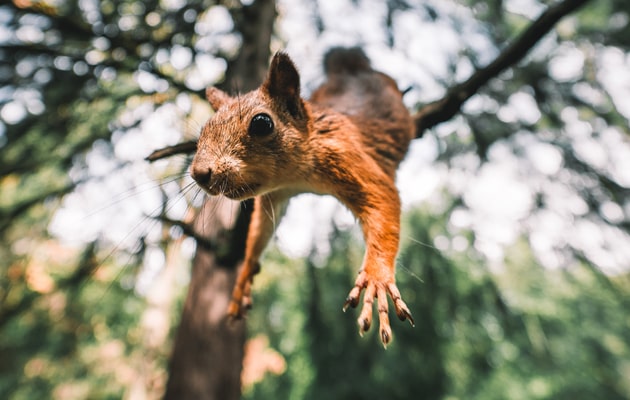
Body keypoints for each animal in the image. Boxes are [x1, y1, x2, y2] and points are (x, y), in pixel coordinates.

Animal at [193, 47, 420, 346]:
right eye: (203, 130)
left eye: (262, 123)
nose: (198, 173)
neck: (295, 176)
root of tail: (352, 68)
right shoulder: (275, 195)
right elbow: (261, 230)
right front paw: (244, 274)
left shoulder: (348, 156)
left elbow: (383, 197)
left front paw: (376, 278)